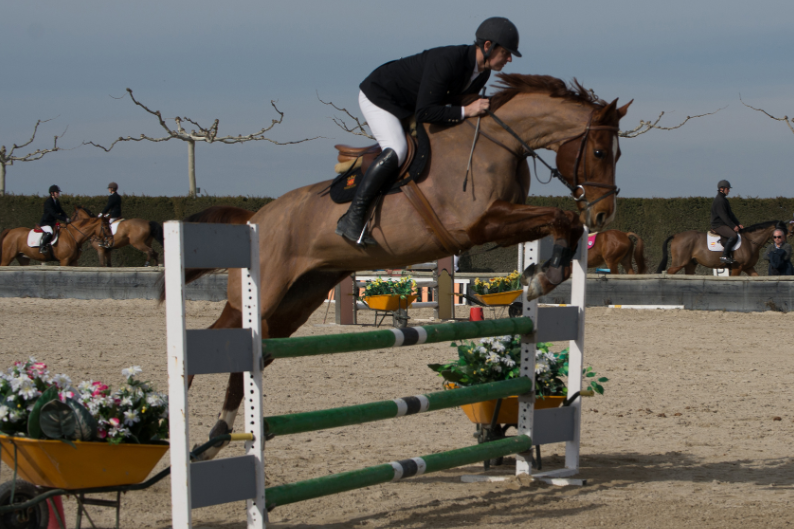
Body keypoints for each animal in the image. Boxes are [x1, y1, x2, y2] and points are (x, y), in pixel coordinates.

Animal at [176, 73, 631, 460]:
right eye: (598, 151)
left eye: (617, 153)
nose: (603, 214)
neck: (498, 142)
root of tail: (256, 219)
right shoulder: (480, 223)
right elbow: (562, 216)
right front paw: (543, 277)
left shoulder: (502, 224)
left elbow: (564, 222)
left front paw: (542, 276)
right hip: (262, 295)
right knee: (221, 340)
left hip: (295, 304)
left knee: (247, 357)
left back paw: (218, 437)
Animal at [656, 220, 793, 276]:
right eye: (781, 230)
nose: (784, 242)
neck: (750, 241)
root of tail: (676, 235)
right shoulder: (738, 268)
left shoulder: (748, 267)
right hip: (679, 262)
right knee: (669, 272)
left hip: (690, 263)